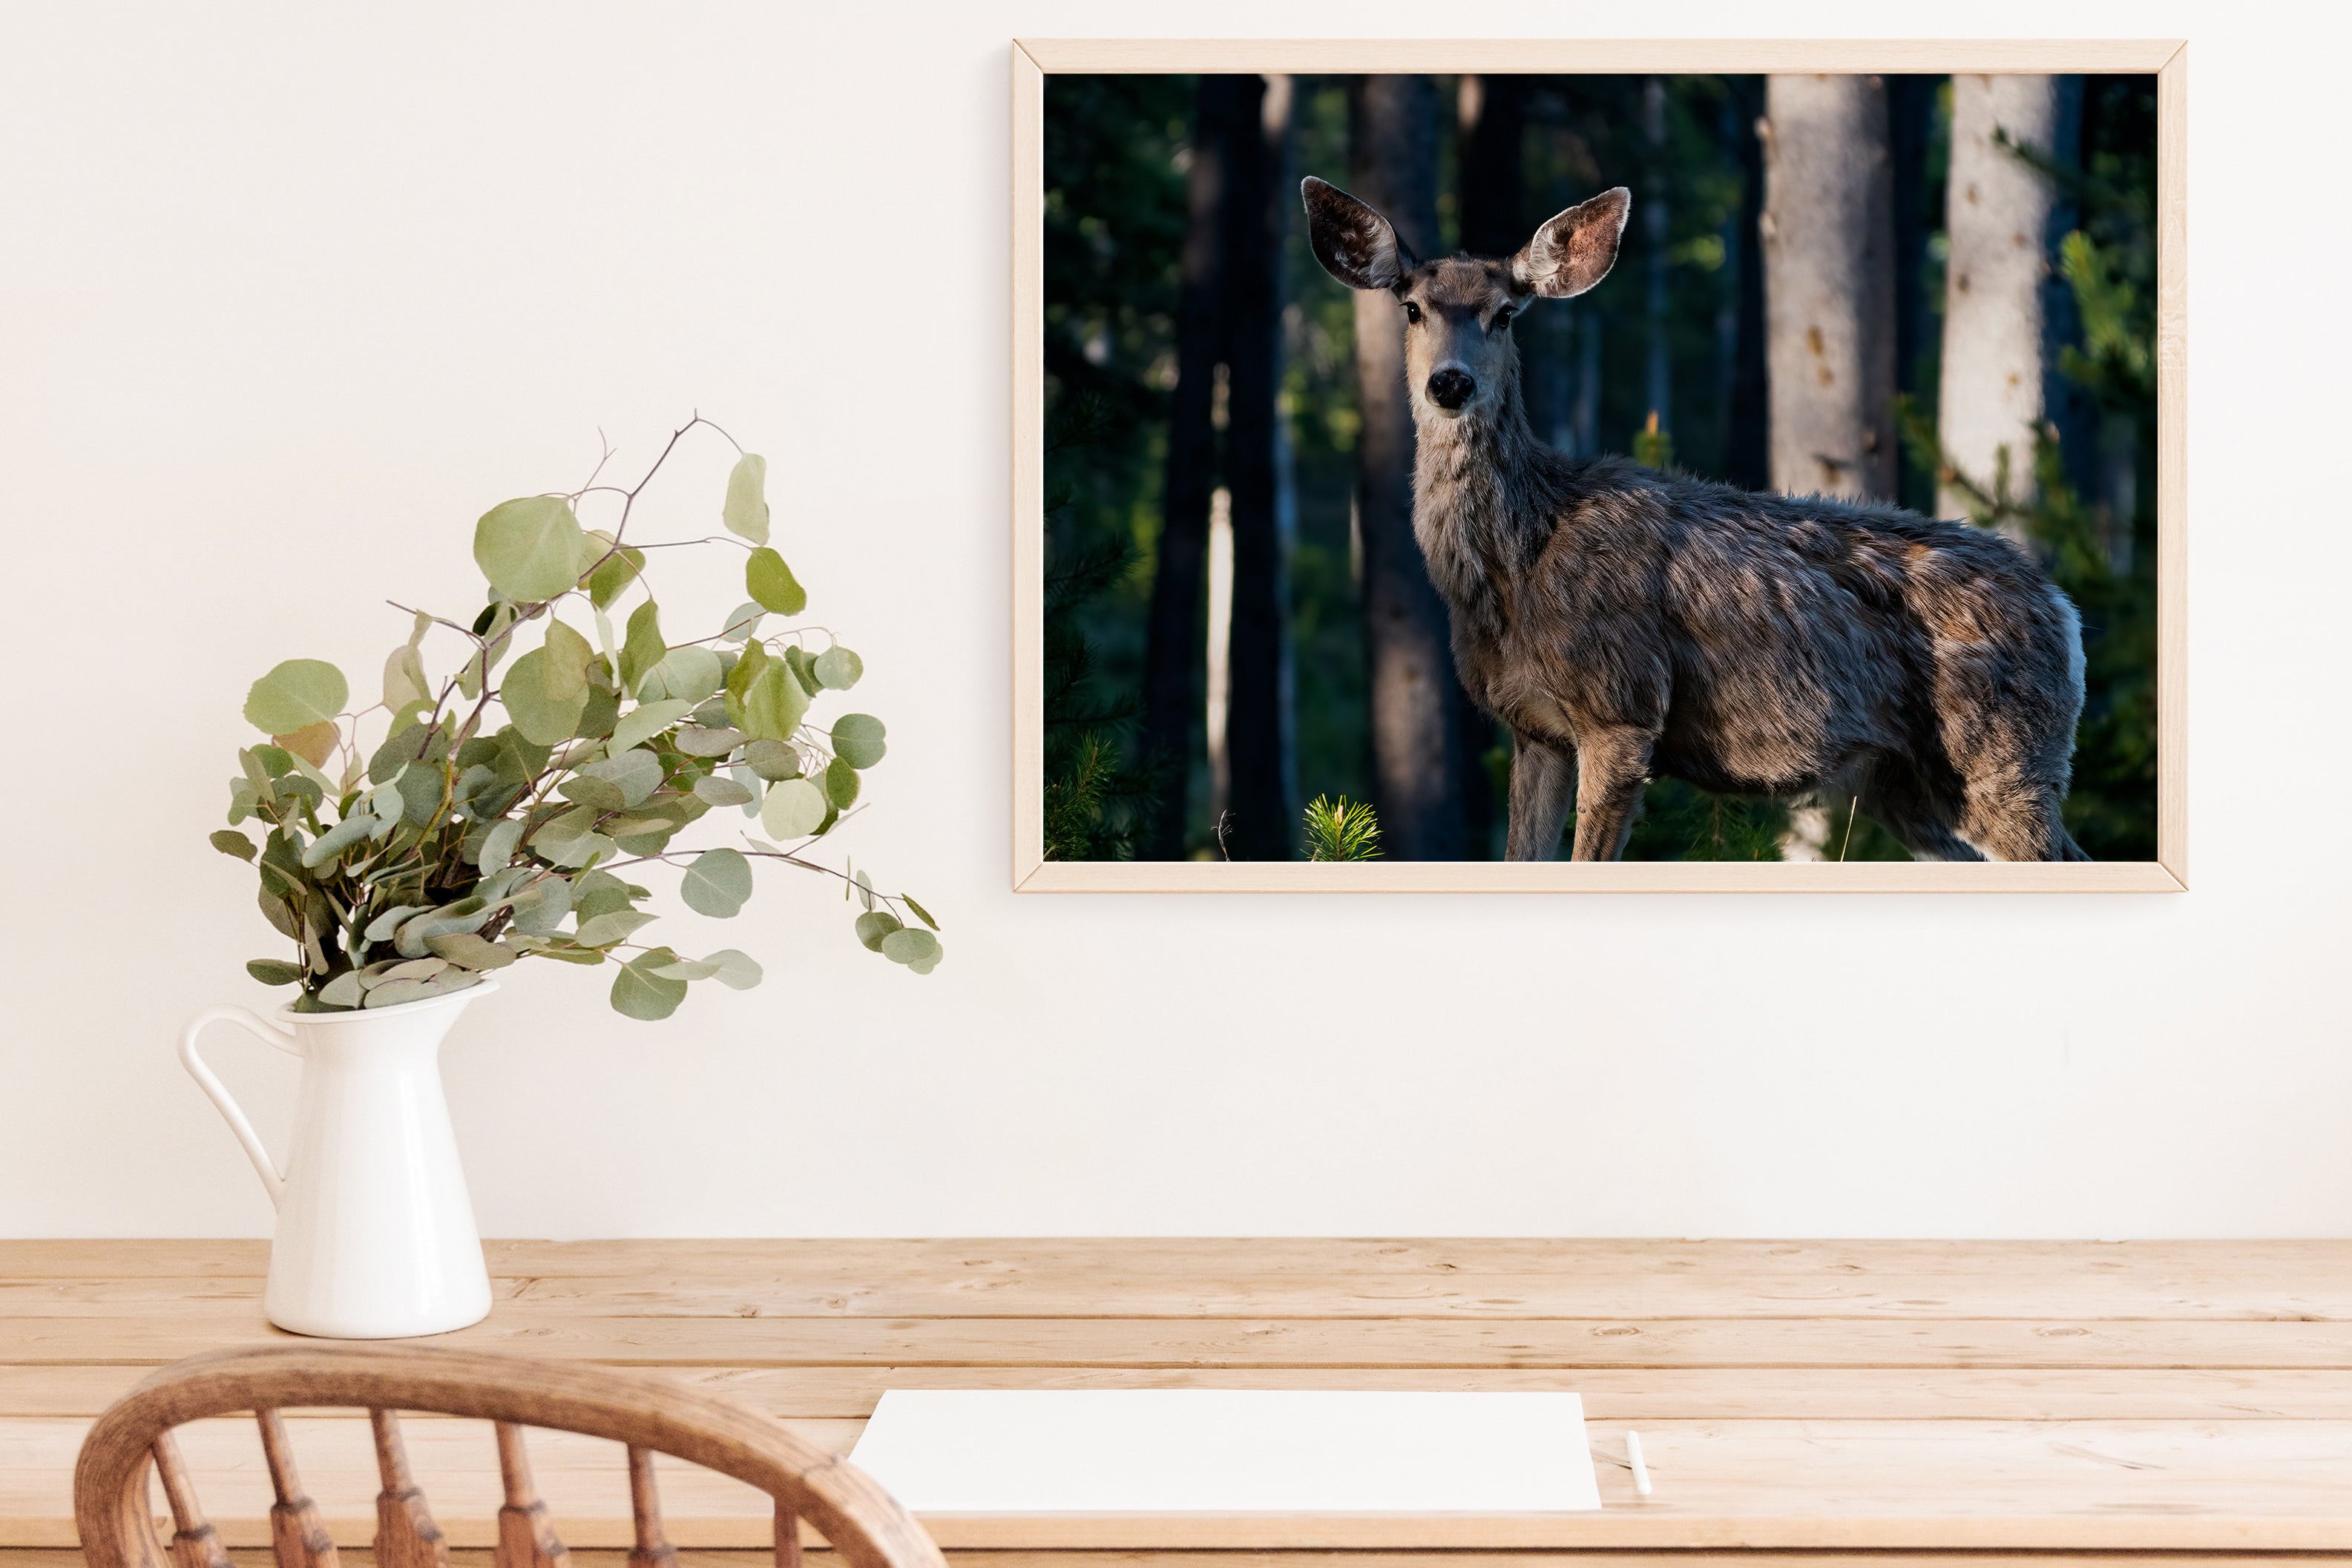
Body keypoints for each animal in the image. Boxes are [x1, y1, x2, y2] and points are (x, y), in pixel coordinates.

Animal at [1301, 176, 2090, 863]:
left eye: (1504, 313)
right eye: (1412, 307)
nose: (1450, 383)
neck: (1516, 563)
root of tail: (2064, 609)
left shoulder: (1623, 708)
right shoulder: (1534, 731)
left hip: (2006, 756)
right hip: (1910, 787)